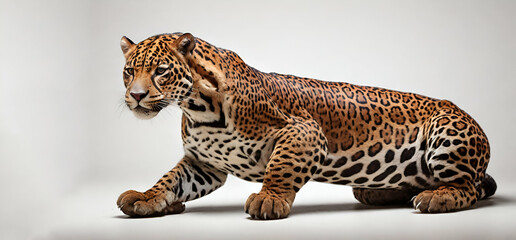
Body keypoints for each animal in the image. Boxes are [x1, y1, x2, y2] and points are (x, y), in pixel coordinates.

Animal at [116, 32, 496, 219]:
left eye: (160, 71)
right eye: (128, 71)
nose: (135, 96)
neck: (197, 107)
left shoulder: (304, 131)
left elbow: (281, 167)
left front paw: (269, 199)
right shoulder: (205, 164)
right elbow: (170, 180)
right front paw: (147, 198)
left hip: (447, 132)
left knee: (469, 188)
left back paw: (437, 197)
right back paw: (383, 192)